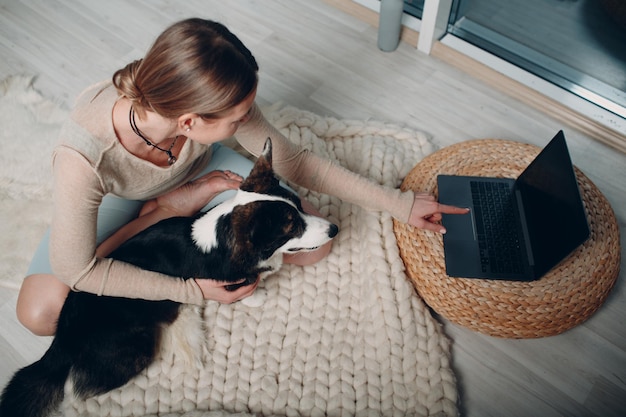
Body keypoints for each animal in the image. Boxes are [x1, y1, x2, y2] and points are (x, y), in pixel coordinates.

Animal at [0, 139, 336, 416]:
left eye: (301, 205)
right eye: (292, 228)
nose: (334, 229)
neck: (226, 239)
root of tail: (62, 337)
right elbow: (247, 291)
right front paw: (257, 295)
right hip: (136, 348)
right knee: (82, 388)